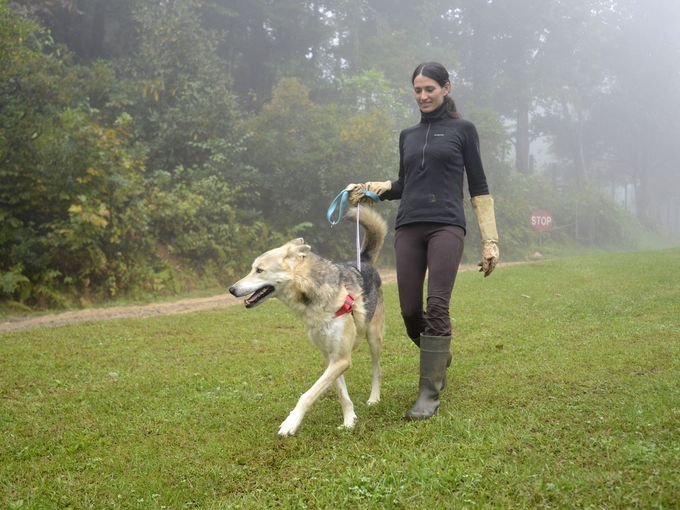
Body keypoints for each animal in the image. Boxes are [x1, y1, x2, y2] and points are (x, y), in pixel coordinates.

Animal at [229, 207, 387, 437]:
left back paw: (374, 398)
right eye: (253, 268)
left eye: (259, 270)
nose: (231, 289)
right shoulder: (331, 357)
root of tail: (363, 261)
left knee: (377, 370)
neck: (311, 300)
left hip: (374, 338)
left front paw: (290, 423)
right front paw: (349, 420)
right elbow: (341, 394)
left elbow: (308, 395)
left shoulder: (341, 359)